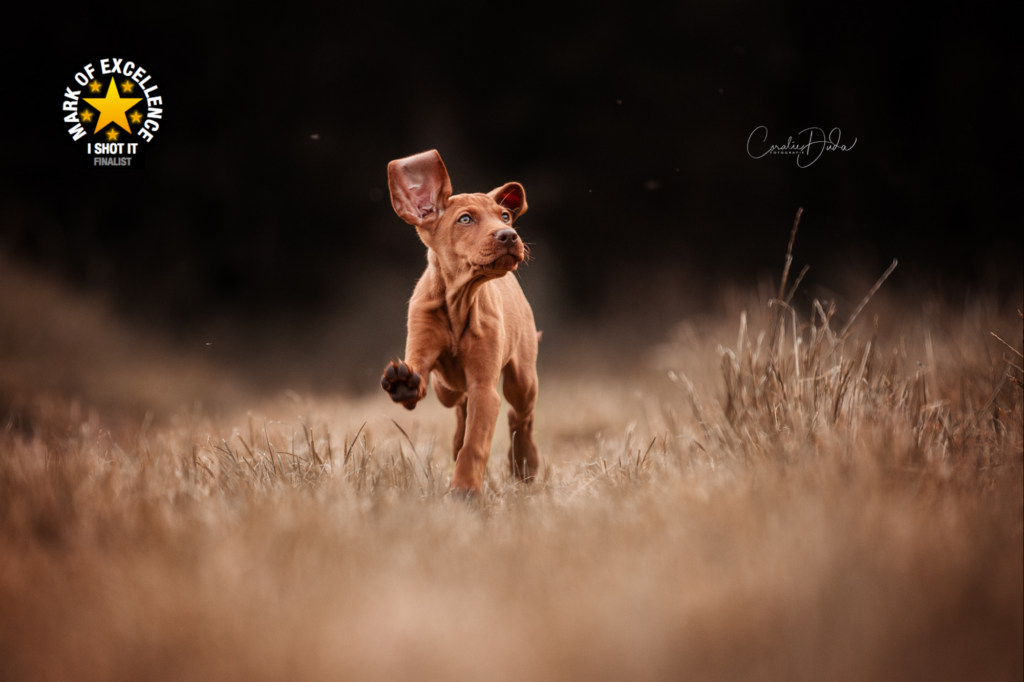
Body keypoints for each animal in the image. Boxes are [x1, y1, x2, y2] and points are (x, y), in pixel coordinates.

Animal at [380, 148, 540, 491]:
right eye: (465, 219)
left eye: (505, 217)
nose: (510, 235)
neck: (459, 300)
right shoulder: (421, 353)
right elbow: (417, 375)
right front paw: (402, 383)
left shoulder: (484, 388)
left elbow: (475, 443)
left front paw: (465, 489)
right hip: (447, 389)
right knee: (460, 410)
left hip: (522, 380)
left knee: (519, 417)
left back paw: (525, 464)